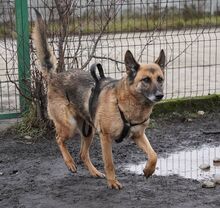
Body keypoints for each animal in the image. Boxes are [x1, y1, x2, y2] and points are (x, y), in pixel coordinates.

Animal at [32, 9, 165, 189]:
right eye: (145, 80)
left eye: (160, 79)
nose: (160, 95)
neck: (129, 104)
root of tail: (54, 76)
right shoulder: (105, 137)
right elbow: (110, 163)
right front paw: (113, 182)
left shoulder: (138, 135)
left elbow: (153, 154)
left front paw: (148, 170)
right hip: (69, 126)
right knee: (59, 139)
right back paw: (69, 163)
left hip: (88, 131)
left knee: (82, 154)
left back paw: (94, 172)